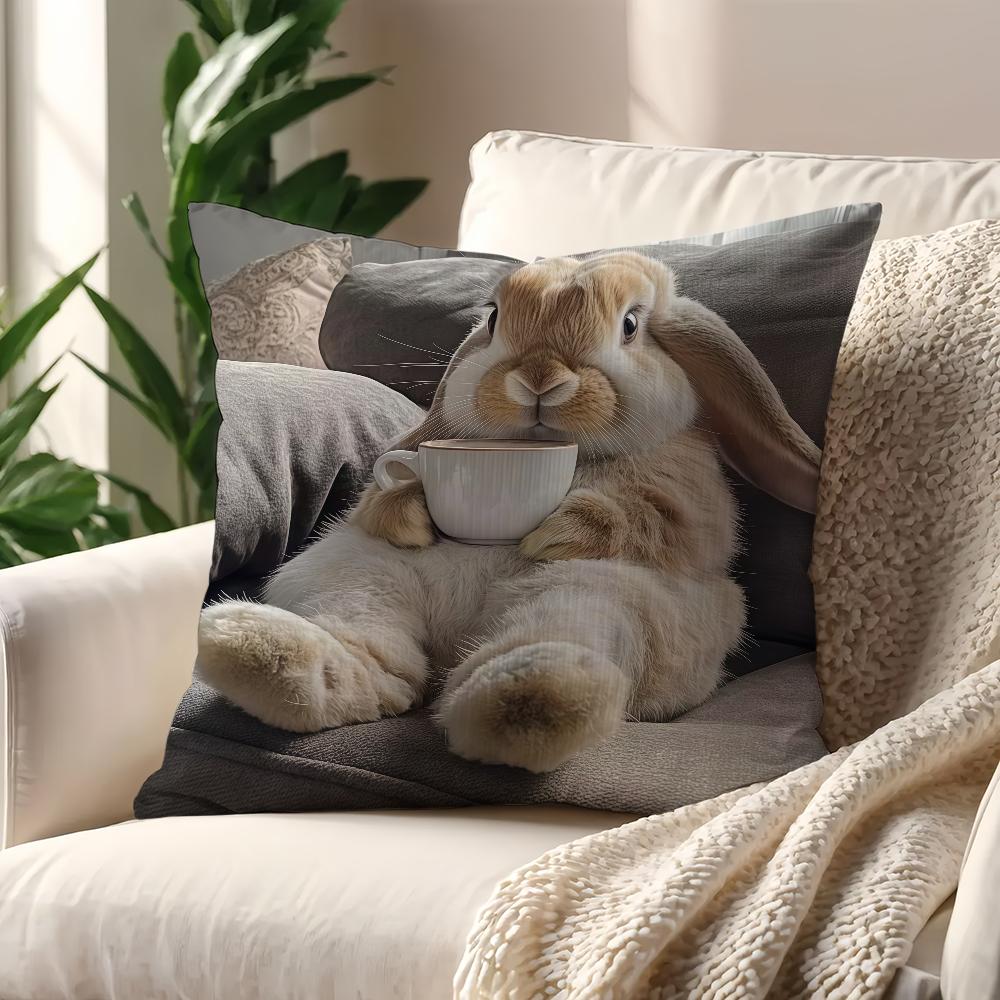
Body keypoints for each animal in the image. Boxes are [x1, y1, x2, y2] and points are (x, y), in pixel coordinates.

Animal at [198, 252, 820, 773]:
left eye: (630, 326)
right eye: (494, 319)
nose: (538, 377)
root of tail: (454, 639)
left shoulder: (687, 487)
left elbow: (648, 518)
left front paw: (550, 534)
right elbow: (382, 497)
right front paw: (412, 518)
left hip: (607, 598)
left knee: (561, 628)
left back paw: (527, 698)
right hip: (353, 572)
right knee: (372, 644)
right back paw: (270, 656)